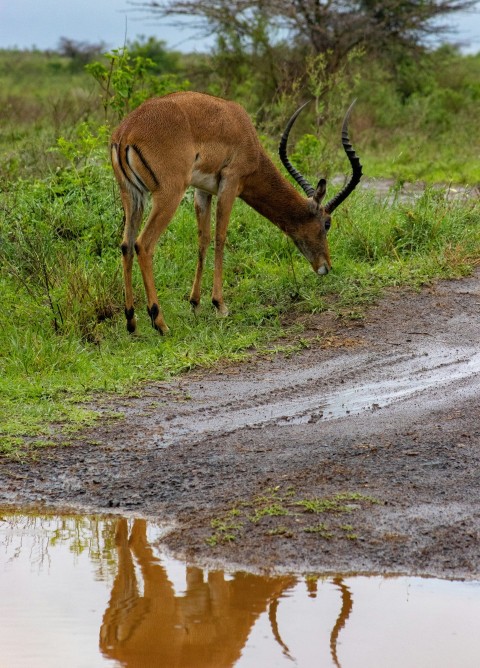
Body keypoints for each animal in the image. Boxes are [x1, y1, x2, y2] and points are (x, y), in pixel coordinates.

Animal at [111, 91, 362, 334]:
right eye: (327, 223)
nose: (326, 266)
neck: (243, 131)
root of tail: (126, 131)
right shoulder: (230, 184)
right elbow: (220, 237)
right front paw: (220, 305)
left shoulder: (202, 191)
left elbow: (203, 239)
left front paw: (195, 303)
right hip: (168, 196)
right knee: (143, 244)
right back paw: (160, 323)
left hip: (132, 195)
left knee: (126, 244)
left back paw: (131, 321)